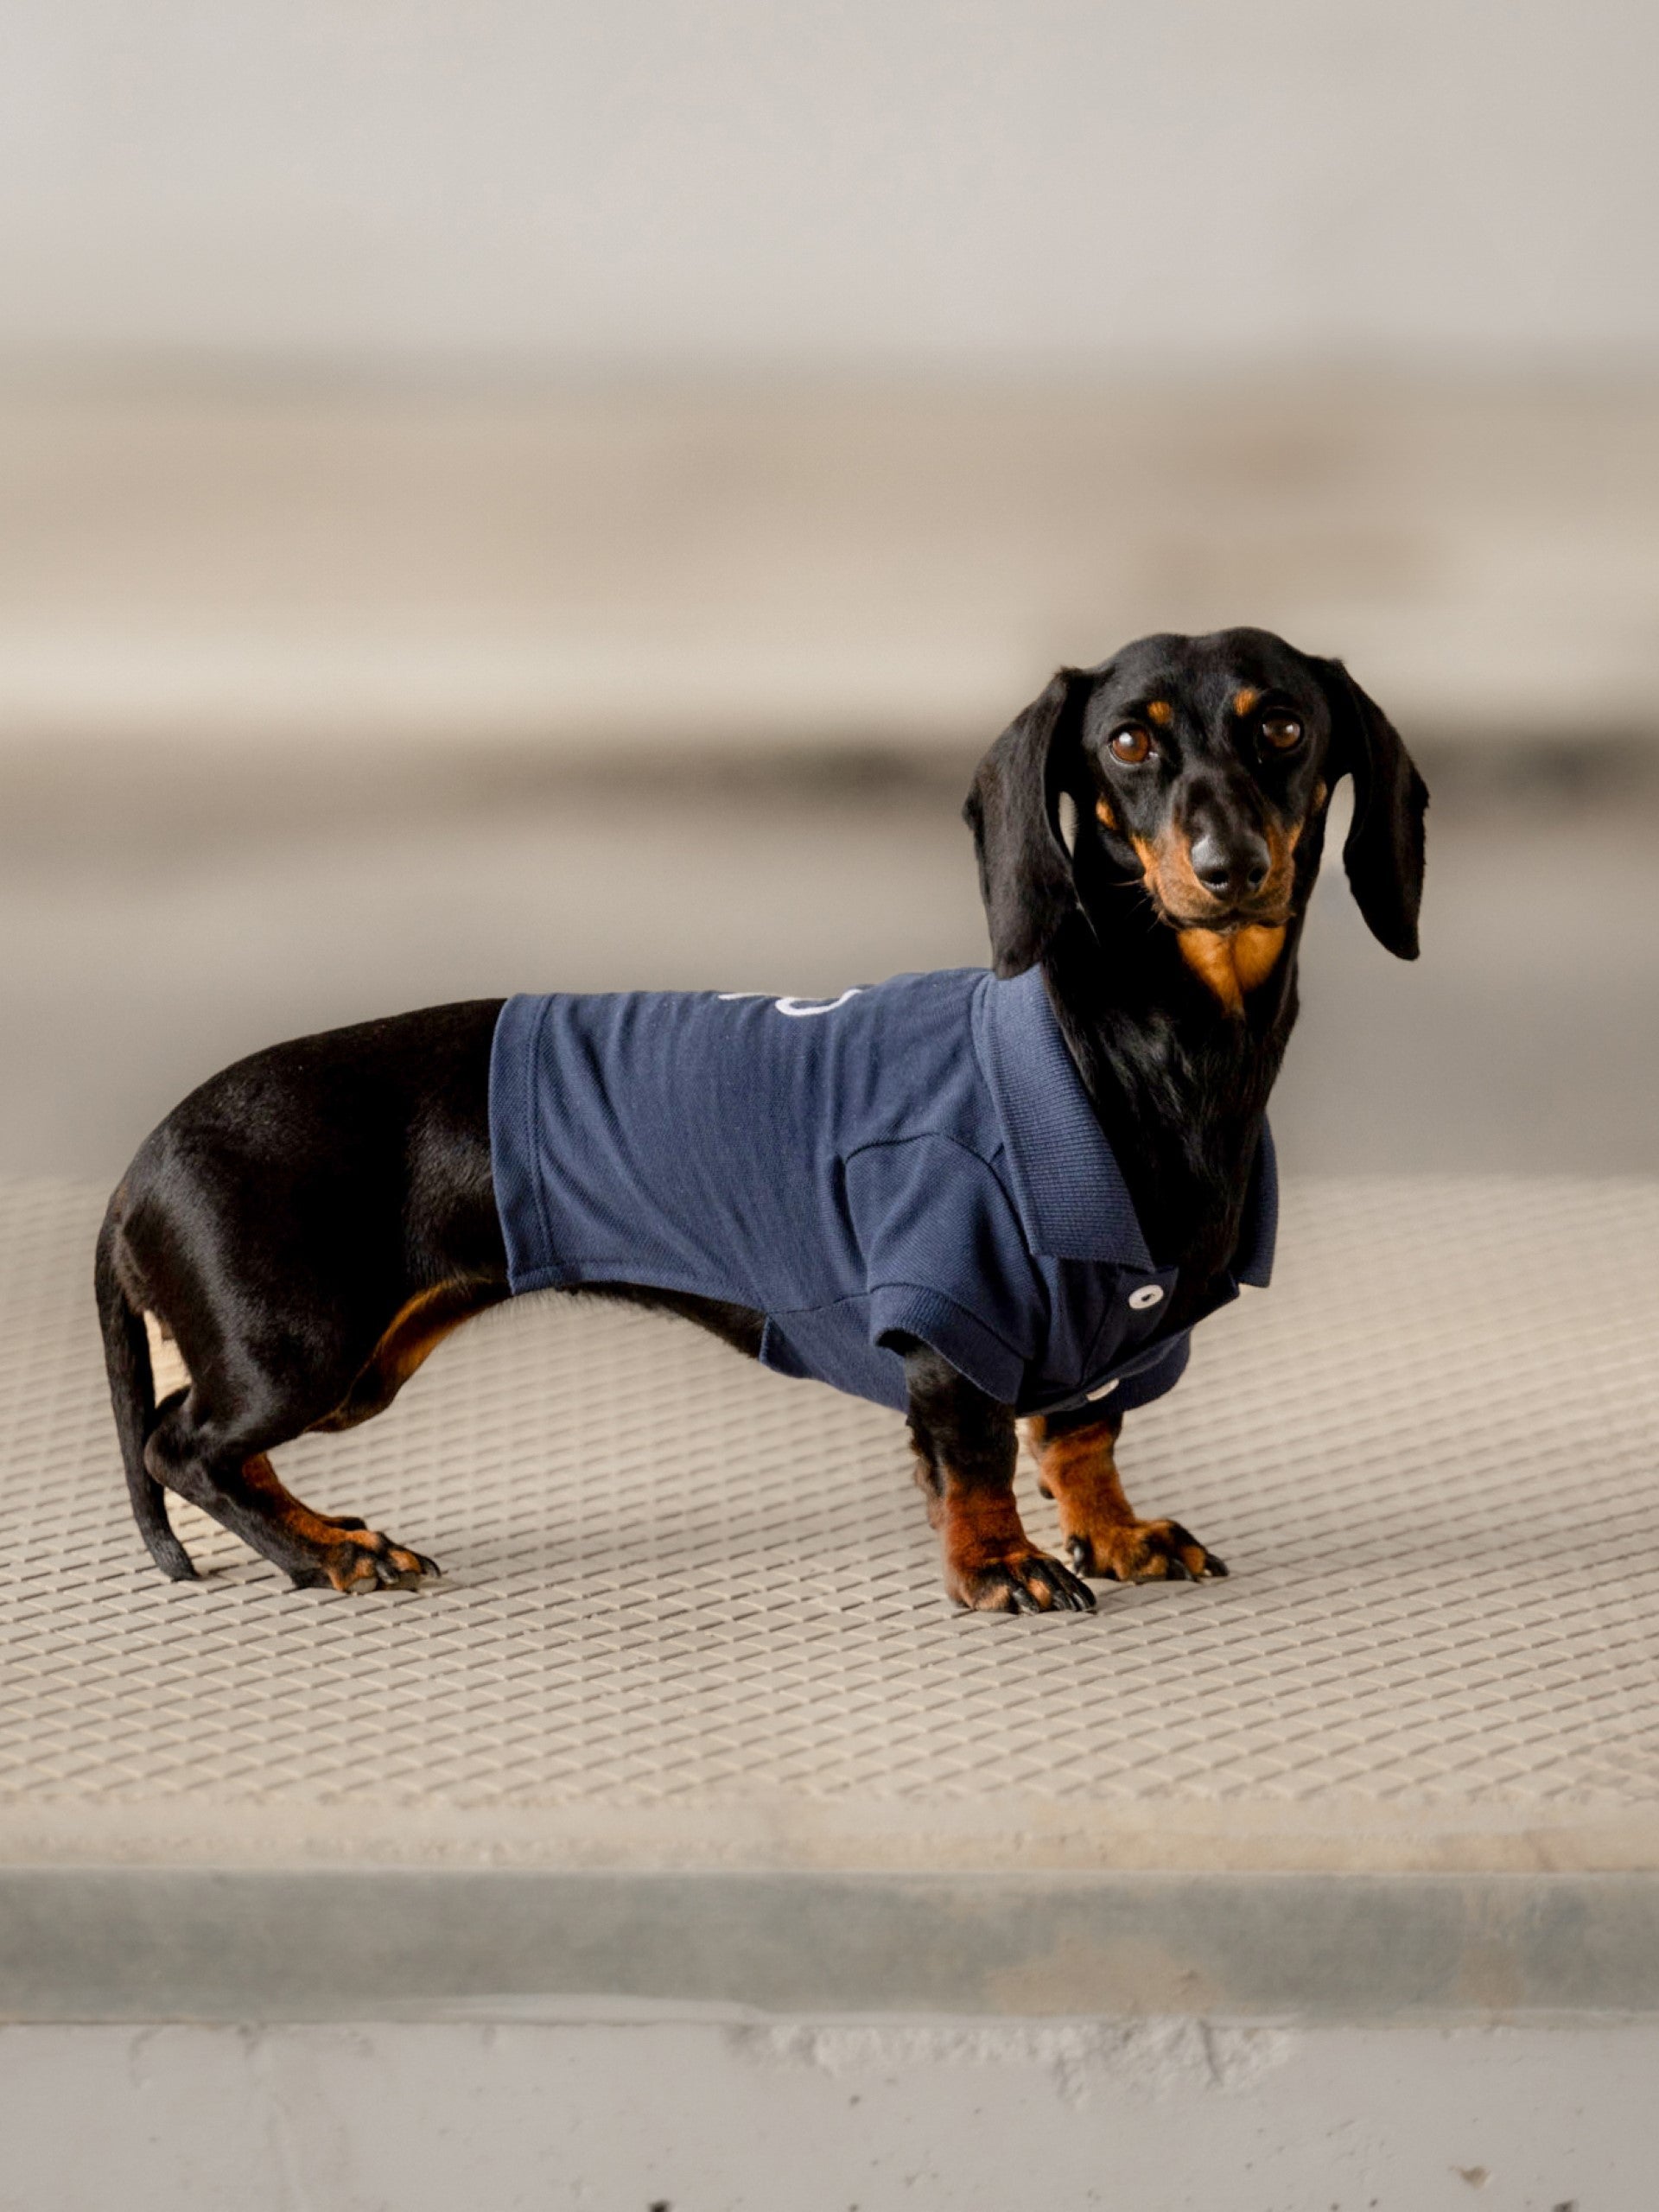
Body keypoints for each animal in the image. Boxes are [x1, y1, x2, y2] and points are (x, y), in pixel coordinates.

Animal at [96, 627, 1425, 1614]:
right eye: (1130, 742)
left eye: (1285, 727)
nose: (1229, 865)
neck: (1144, 1052)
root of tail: (137, 1168)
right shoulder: (950, 1315)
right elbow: (980, 1452)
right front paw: (999, 1565)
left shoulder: (1115, 1336)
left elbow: (1082, 1436)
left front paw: (1119, 1532)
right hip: (305, 1349)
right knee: (182, 1444)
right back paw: (329, 1551)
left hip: (357, 1356)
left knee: (194, 1433)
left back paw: (323, 1533)